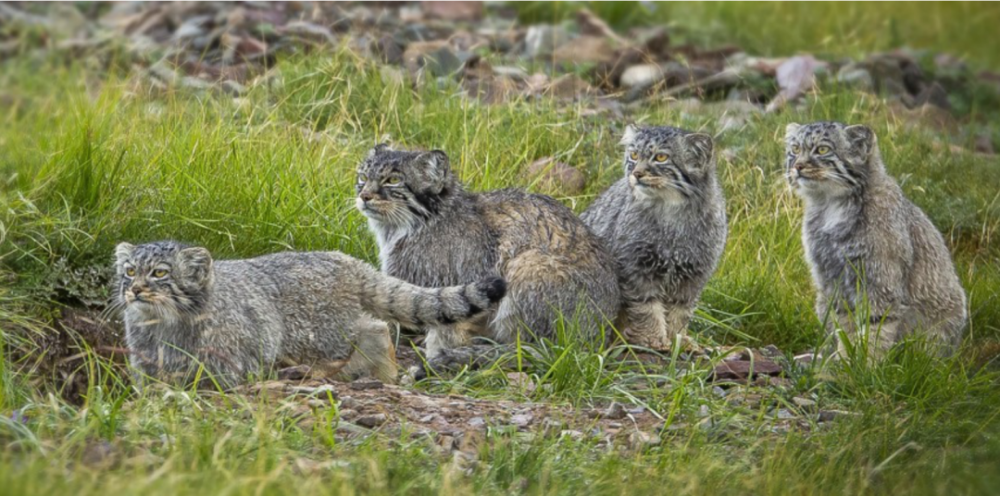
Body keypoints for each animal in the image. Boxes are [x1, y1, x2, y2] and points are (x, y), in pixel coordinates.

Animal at [115, 240, 508, 388]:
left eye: (160, 273)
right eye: (130, 271)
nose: (134, 290)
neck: (164, 327)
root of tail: (344, 259)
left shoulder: (230, 361)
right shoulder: (146, 363)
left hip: (318, 335)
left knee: (376, 328)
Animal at [352, 145, 616, 370]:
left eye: (393, 180)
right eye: (363, 176)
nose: (364, 195)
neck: (420, 223)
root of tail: (597, 334)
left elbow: (443, 322)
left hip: (529, 265)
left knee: (536, 349)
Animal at [784, 121, 964, 354]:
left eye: (822, 149)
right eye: (795, 149)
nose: (797, 166)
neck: (830, 206)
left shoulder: (880, 281)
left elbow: (875, 331)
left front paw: (864, 362)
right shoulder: (832, 279)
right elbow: (846, 328)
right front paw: (843, 359)